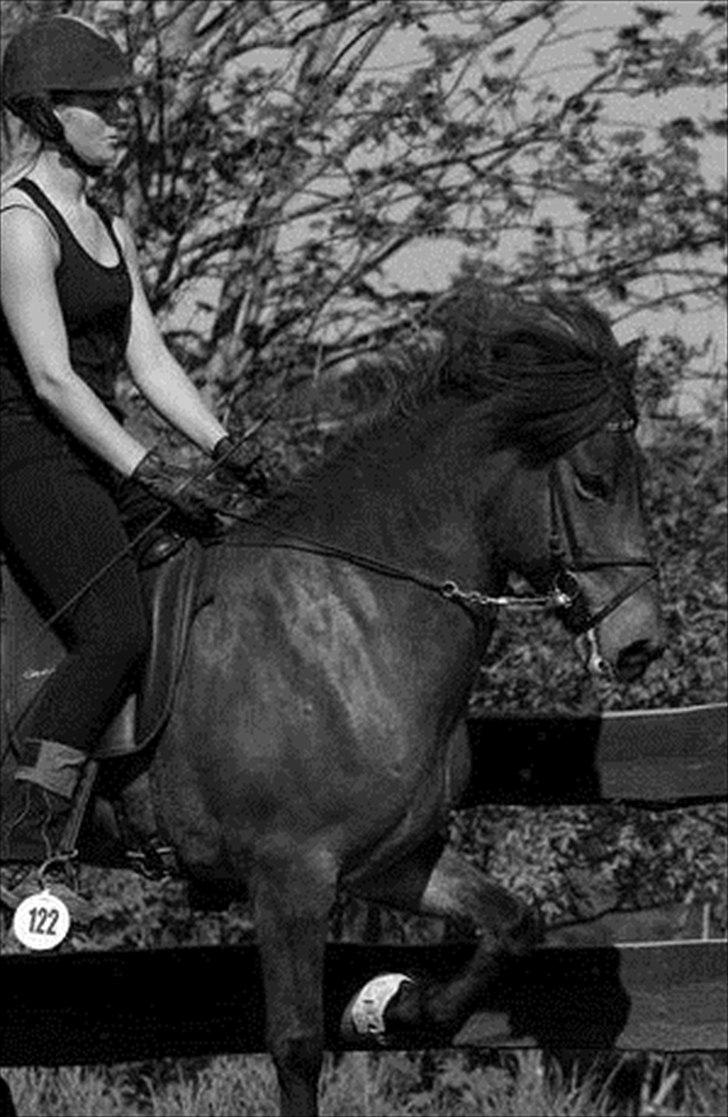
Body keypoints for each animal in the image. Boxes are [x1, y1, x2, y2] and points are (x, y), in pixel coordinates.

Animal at [11, 290, 661, 1117]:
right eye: (595, 482)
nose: (642, 641)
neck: (349, 616)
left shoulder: (391, 859)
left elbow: (511, 924)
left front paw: (393, 1005)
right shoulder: (291, 874)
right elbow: (296, 1045)